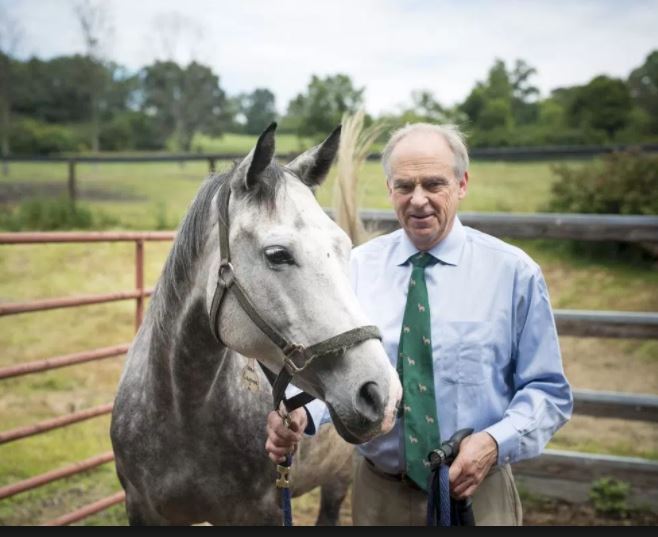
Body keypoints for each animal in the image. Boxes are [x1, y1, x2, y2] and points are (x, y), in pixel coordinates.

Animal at [110, 123, 400, 520]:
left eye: (342, 247)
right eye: (277, 254)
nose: (381, 393)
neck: (180, 410)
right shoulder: (141, 508)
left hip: (338, 477)